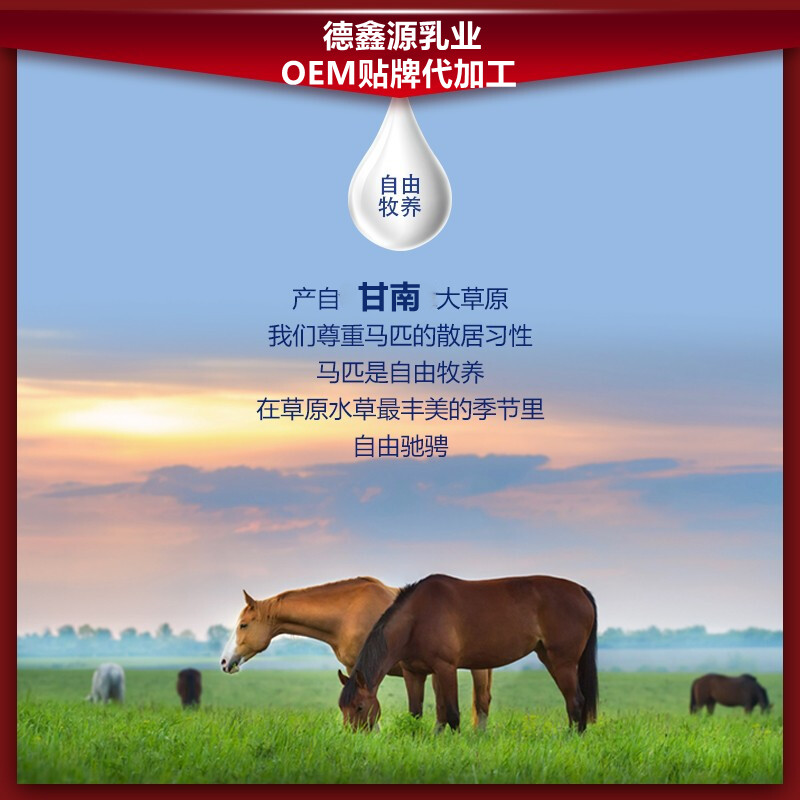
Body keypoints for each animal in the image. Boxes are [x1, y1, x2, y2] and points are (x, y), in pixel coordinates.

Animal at [338, 573, 598, 733]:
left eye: (359, 707)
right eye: (342, 707)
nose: (353, 736)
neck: (416, 618)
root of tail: (580, 590)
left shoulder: (445, 668)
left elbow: (452, 713)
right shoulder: (414, 673)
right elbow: (415, 713)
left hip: (563, 662)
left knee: (576, 701)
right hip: (549, 658)